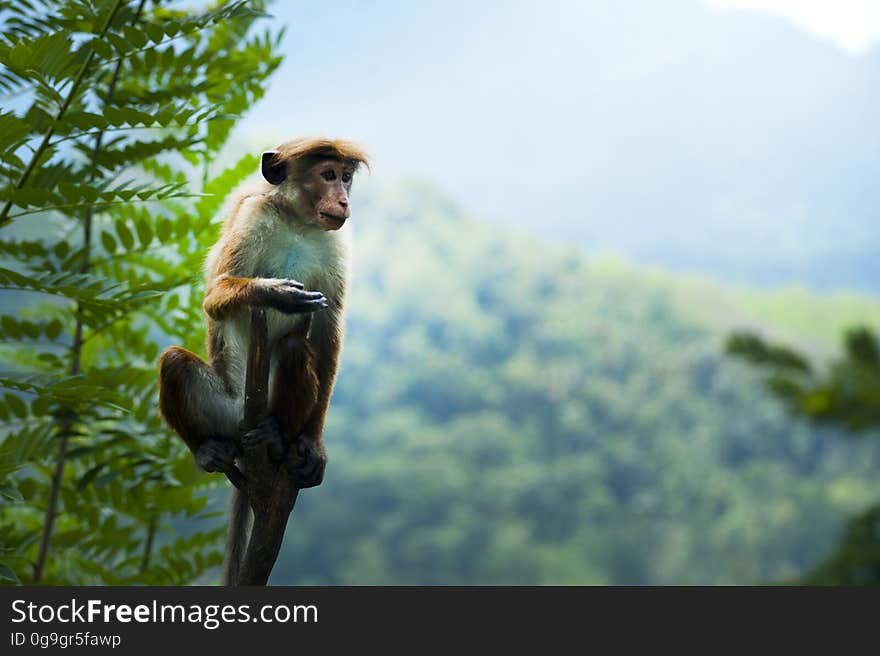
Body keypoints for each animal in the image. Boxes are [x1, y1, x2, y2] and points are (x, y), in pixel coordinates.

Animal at [156, 137, 366, 580]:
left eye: (346, 177)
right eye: (327, 175)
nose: (343, 200)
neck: (298, 223)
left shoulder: (336, 243)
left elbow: (327, 332)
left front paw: (312, 445)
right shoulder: (252, 217)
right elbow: (215, 295)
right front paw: (273, 293)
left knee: (293, 349)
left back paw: (278, 437)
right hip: (222, 411)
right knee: (174, 362)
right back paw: (207, 451)